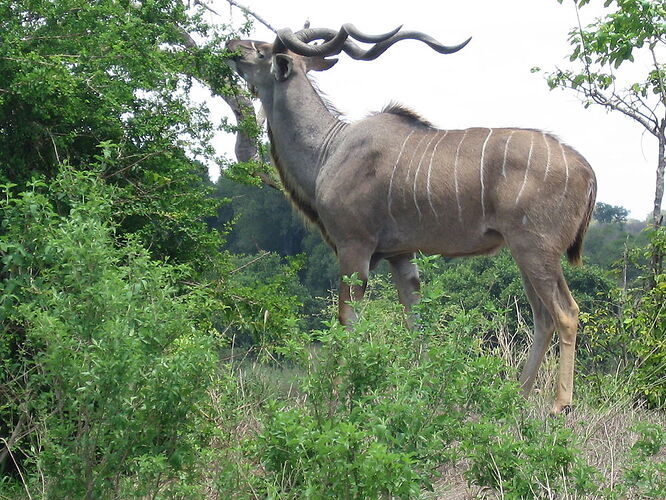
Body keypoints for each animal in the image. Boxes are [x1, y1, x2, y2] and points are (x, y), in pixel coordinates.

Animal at [226, 24, 592, 414]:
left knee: (565, 313)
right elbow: (415, 320)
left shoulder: (354, 248)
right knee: (543, 316)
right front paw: (418, 390)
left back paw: (559, 405)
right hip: (529, 255)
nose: (231, 45)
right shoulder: (401, 255)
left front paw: (340, 396)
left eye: (262, 51)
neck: (330, 149)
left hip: (534, 250)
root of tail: (587, 170)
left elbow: (348, 319)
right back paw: (513, 396)